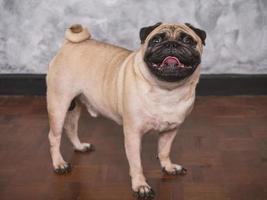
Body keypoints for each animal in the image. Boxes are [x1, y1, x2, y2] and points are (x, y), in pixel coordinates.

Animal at [46, 22, 207, 198]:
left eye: (187, 40)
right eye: (156, 40)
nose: (171, 45)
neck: (167, 89)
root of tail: (68, 45)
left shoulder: (170, 130)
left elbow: (164, 151)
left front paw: (168, 167)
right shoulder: (133, 135)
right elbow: (136, 164)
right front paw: (140, 186)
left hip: (76, 105)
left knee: (71, 128)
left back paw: (80, 146)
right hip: (59, 104)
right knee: (54, 136)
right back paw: (59, 164)